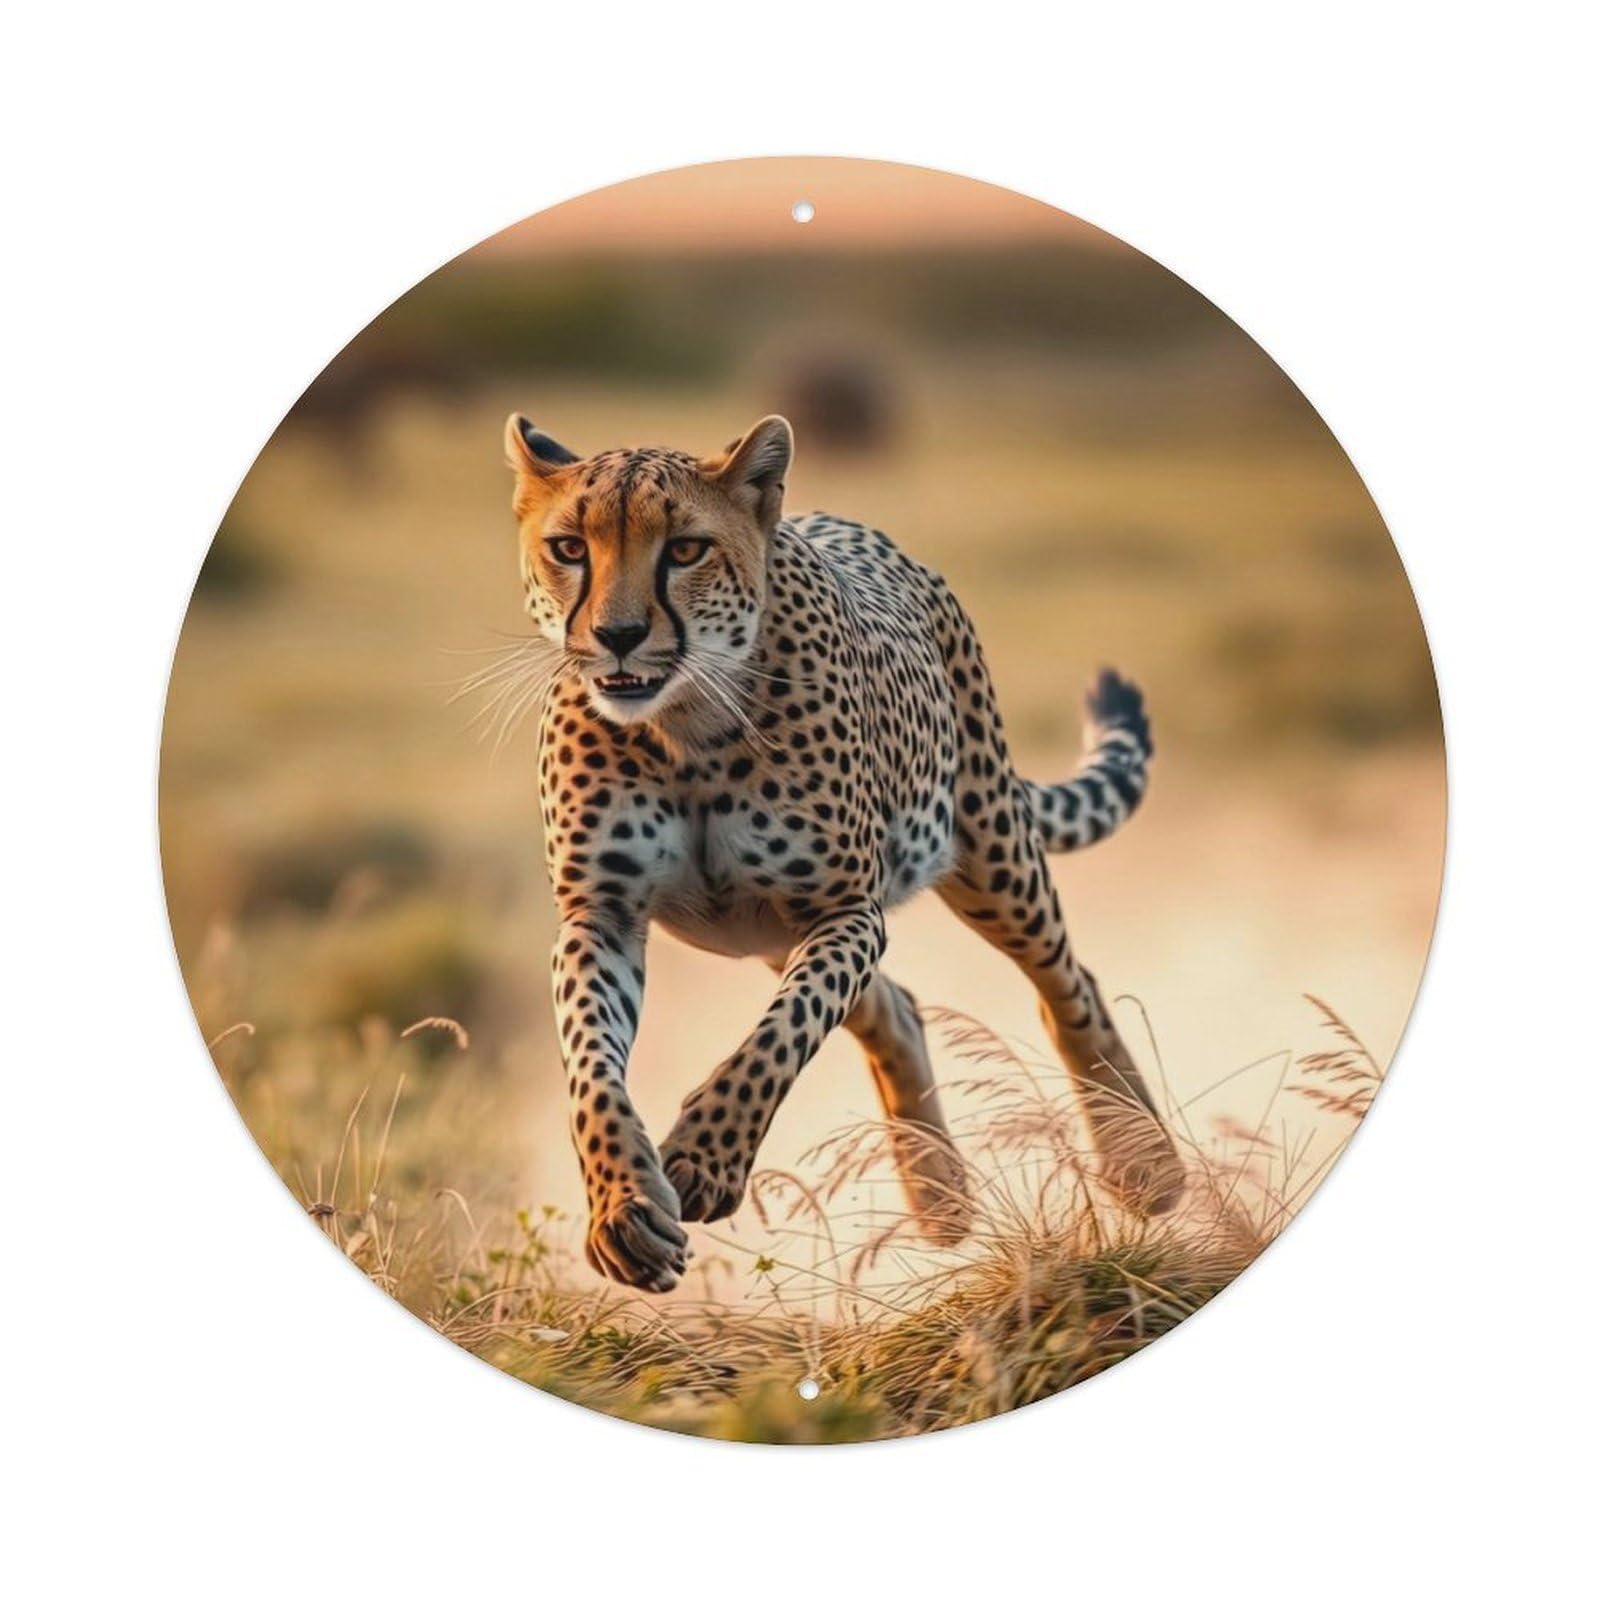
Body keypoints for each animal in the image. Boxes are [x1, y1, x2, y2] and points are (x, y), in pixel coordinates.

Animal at [500, 410, 1186, 1291]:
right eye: (569, 548)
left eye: (684, 549)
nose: (617, 636)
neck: (686, 726)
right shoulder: (602, 916)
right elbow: (592, 1068)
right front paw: (624, 1203)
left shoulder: (844, 910)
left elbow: (778, 1038)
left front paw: (706, 1158)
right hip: (767, 933)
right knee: (899, 1009)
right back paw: (939, 1194)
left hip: (989, 852)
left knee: (1067, 986)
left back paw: (1145, 1165)